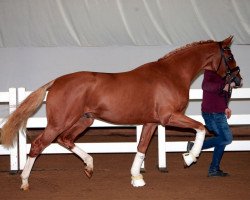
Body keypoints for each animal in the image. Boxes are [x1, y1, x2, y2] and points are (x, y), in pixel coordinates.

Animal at [0, 36, 242, 191]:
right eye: (229, 57)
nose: (238, 81)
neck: (171, 74)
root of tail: (56, 82)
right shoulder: (169, 117)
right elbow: (201, 127)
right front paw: (190, 157)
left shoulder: (151, 122)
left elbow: (141, 147)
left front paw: (137, 178)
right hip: (59, 122)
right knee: (38, 145)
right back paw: (24, 182)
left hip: (84, 121)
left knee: (65, 139)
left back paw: (89, 165)